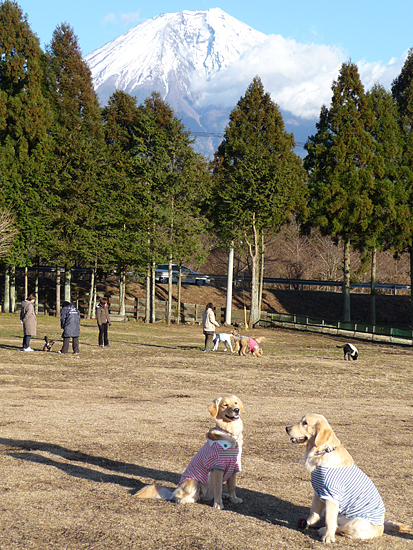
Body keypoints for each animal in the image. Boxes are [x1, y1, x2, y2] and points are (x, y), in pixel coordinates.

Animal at [284, 414, 410, 544]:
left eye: (305, 423)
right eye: (301, 420)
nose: (286, 428)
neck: (323, 451)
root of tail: (382, 527)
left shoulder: (331, 496)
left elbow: (329, 520)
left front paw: (328, 537)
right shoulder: (319, 492)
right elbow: (313, 511)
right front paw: (307, 523)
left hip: (355, 522)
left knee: (341, 527)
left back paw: (324, 531)